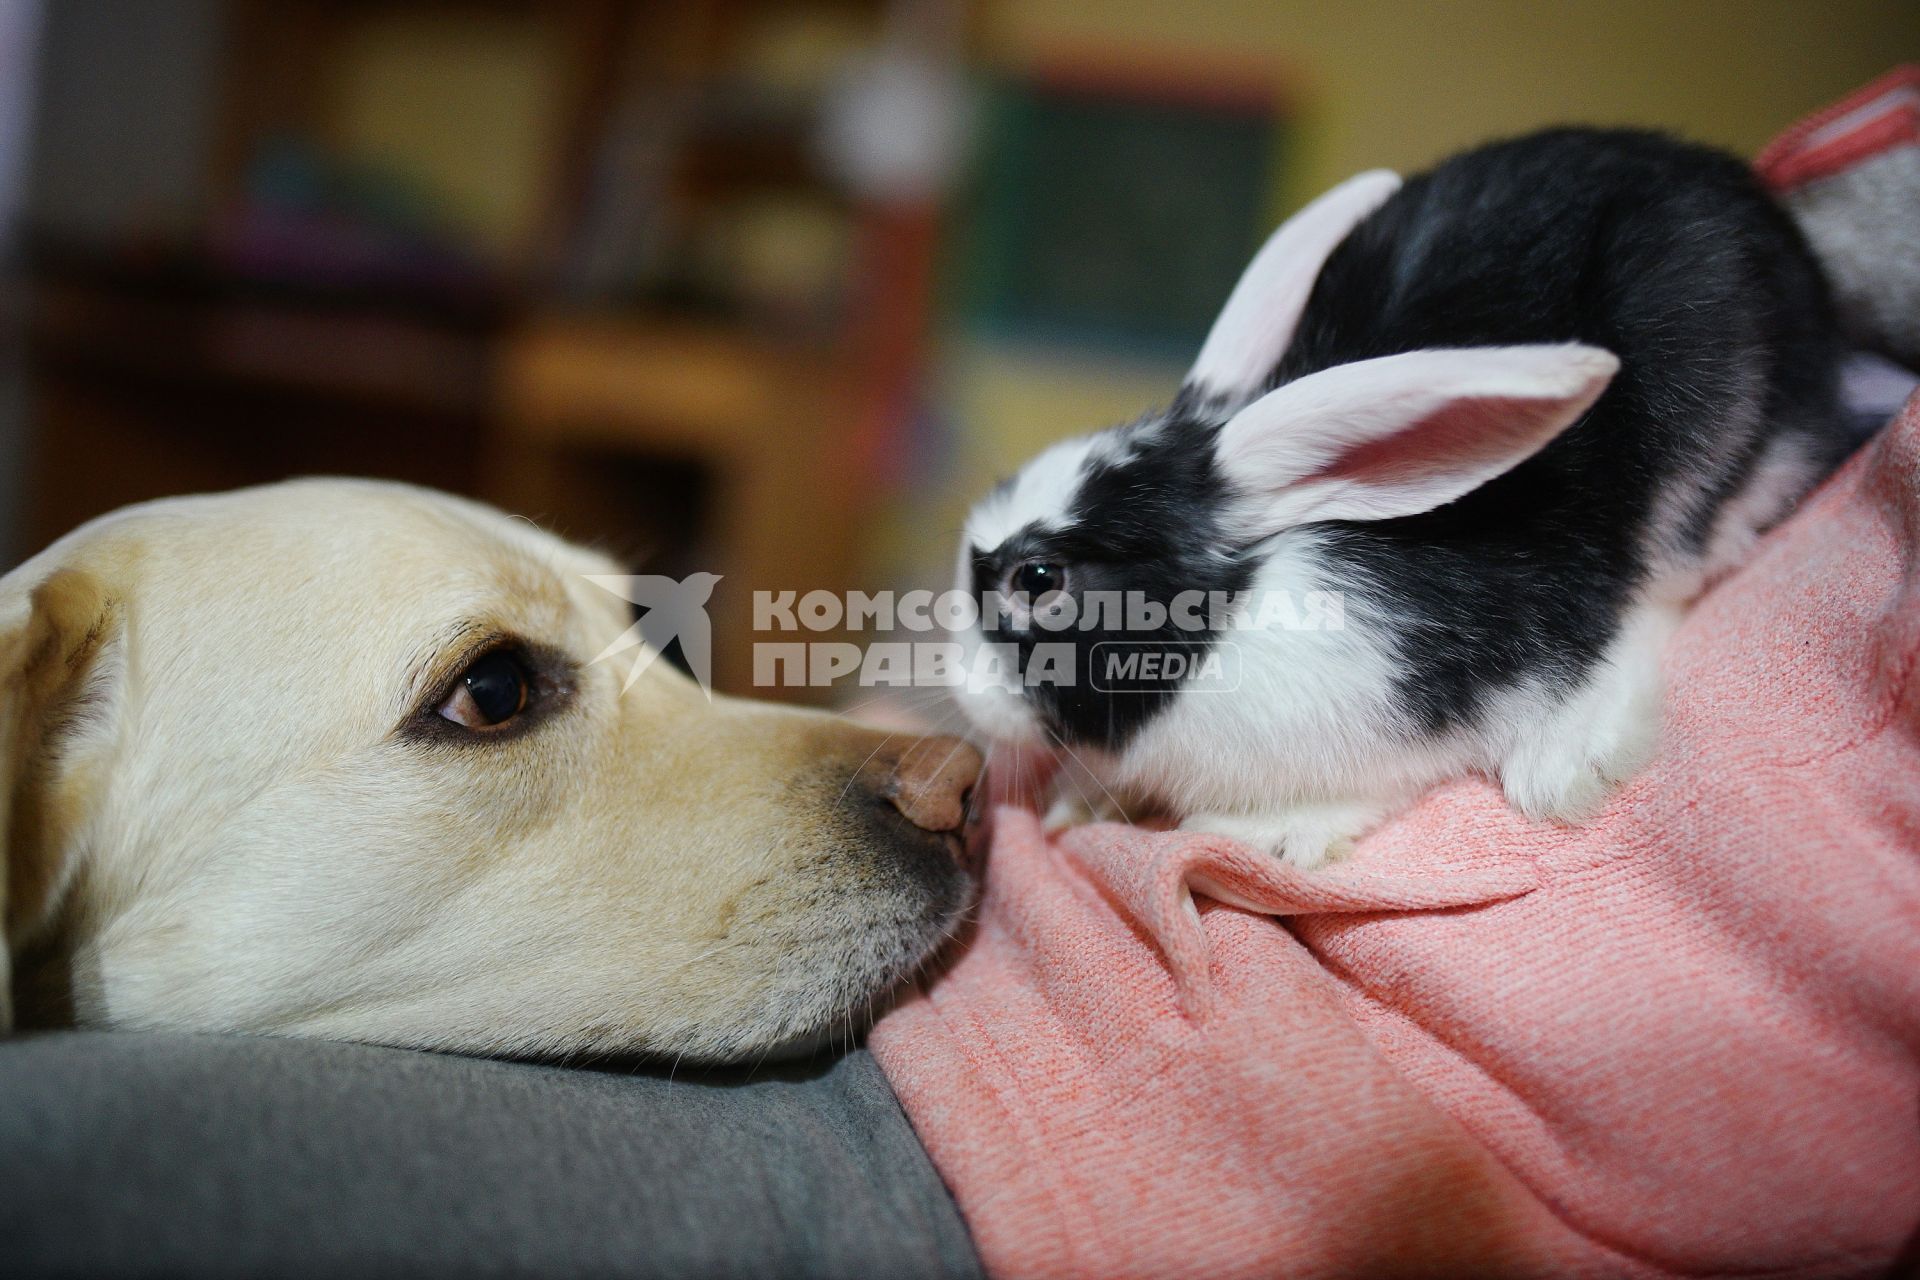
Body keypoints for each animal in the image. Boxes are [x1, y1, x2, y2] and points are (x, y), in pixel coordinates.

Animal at [952, 130, 1850, 867]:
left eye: (1038, 580)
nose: (961, 694)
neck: (1239, 617)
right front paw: (1076, 801)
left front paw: (1269, 836)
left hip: (1705, 441)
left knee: (1668, 579)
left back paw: (1572, 758)